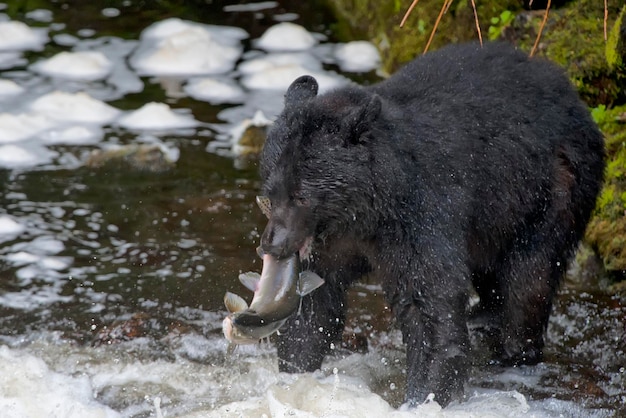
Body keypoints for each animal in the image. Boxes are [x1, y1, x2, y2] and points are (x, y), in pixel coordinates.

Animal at [256, 41, 604, 404]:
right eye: (269, 194)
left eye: (301, 196)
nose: (273, 244)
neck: (364, 210)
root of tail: (569, 90)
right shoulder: (330, 241)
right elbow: (315, 304)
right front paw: (295, 375)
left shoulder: (420, 215)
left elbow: (429, 306)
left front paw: (423, 395)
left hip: (552, 191)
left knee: (527, 281)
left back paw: (514, 349)